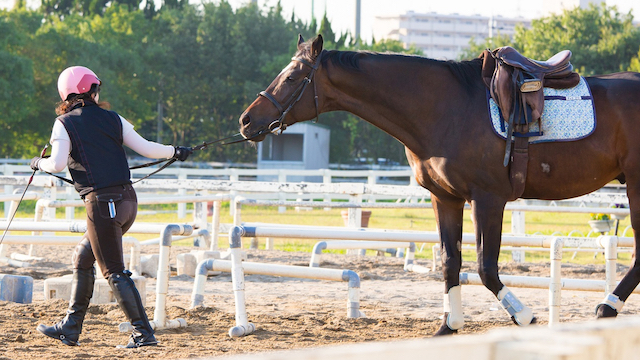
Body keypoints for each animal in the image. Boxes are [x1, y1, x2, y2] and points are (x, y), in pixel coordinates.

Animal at [238, 34, 640, 334]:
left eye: (292, 78)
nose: (246, 121)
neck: (447, 108)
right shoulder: (445, 198)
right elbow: (450, 261)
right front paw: (450, 324)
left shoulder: (487, 199)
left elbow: (485, 267)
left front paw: (523, 315)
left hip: (635, 186)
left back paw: (607, 306)